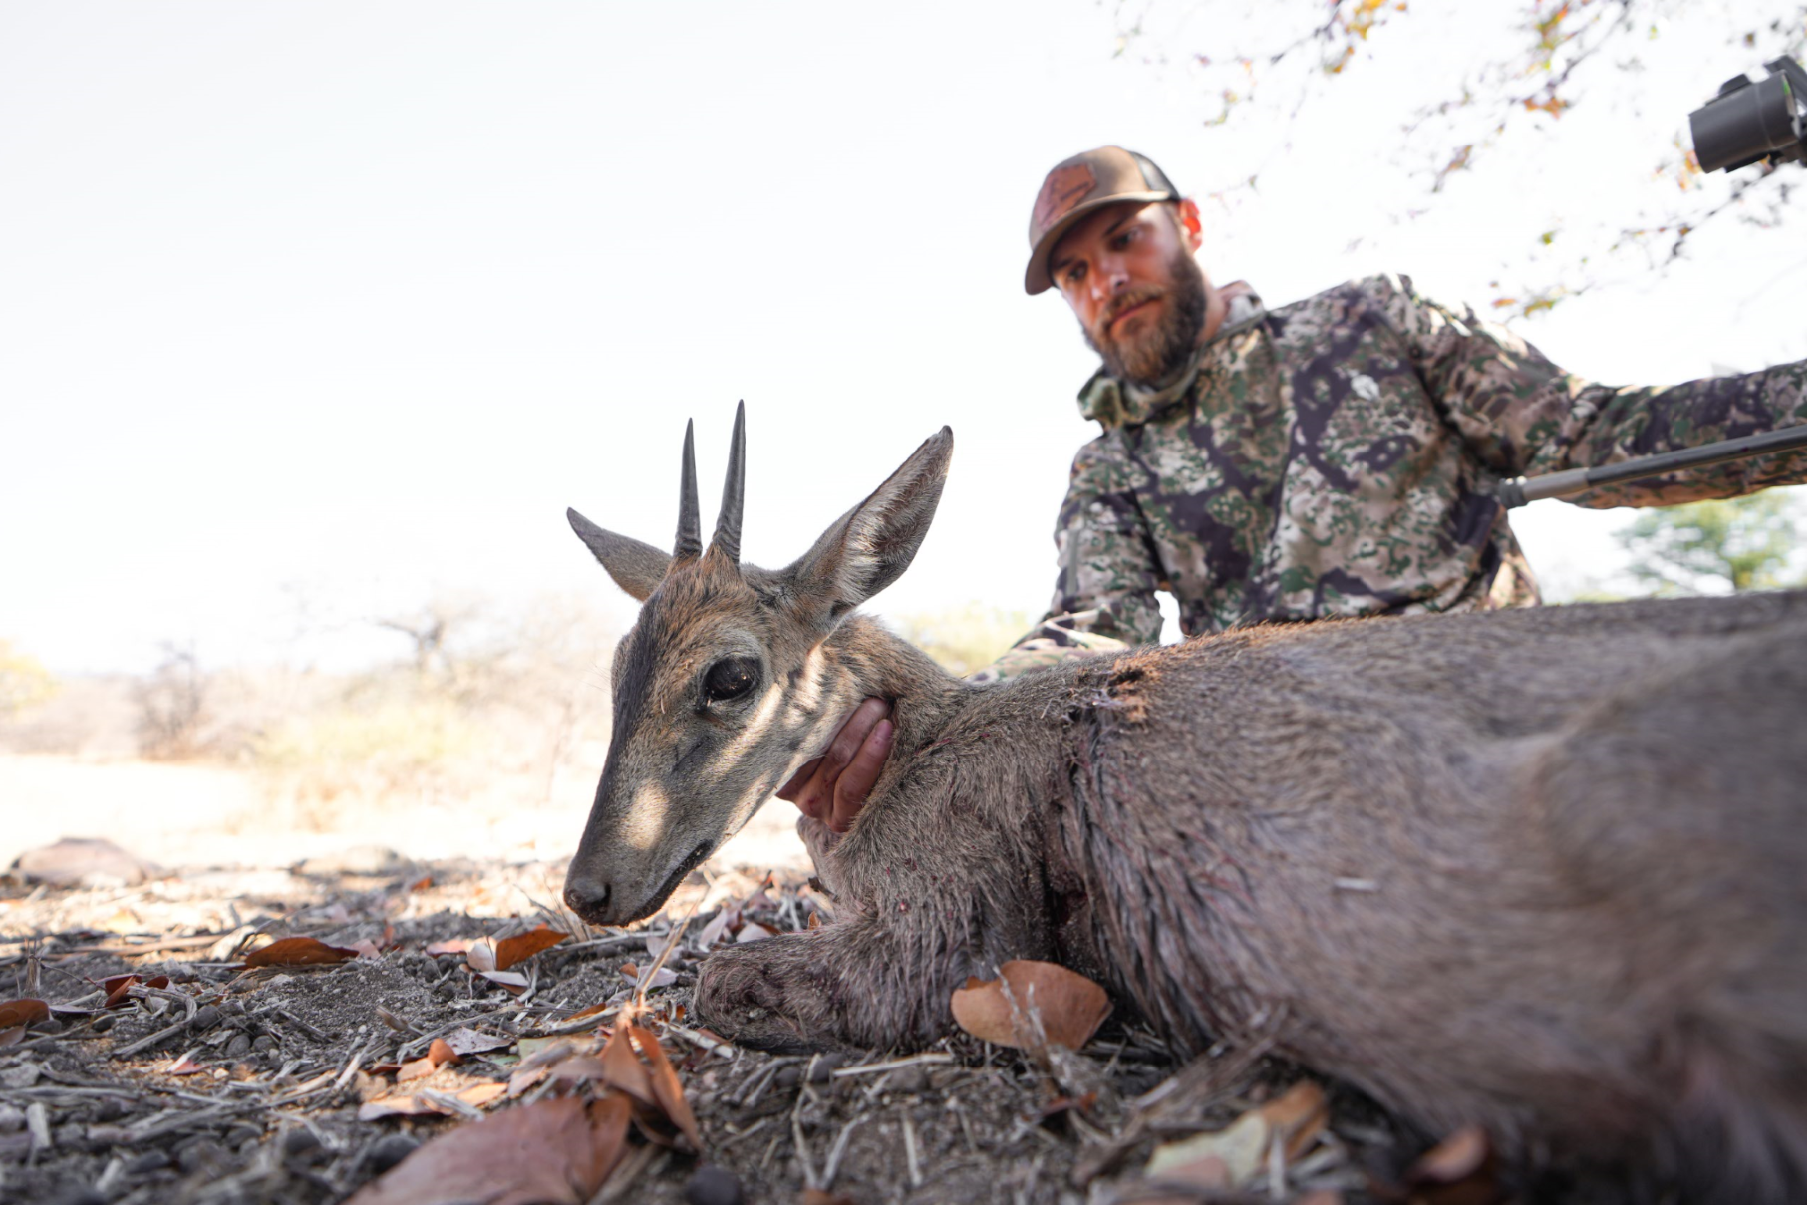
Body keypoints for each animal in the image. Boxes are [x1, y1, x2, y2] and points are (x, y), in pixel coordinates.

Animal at [561, 405, 1807, 1201]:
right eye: (616, 664)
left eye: (730, 675)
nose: (590, 887)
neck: (923, 742)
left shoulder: (950, 942)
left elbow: (721, 977)